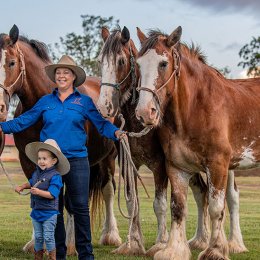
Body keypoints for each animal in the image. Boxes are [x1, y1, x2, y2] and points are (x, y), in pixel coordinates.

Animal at [0, 25, 122, 255]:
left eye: (11, 62)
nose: (0, 107)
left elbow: (70, 202)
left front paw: (70, 245)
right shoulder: (28, 160)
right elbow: (36, 193)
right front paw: (36, 242)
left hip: (109, 158)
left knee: (108, 191)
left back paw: (111, 236)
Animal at [97, 25, 215, 256]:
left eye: (121, 62)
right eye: (100, 61)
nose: (104, 107)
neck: (137, 122)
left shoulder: (160, 165)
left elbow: (159, 204)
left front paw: (161, 243)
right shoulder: (129, 164)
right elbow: (133, 203)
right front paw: (133, 243)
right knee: (202, 193)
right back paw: (199, 240)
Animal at [135, 26, 258, 260]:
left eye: (163, 64)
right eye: (137, 64)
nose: (145, 112)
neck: (195, 108)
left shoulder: (217, 164)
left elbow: (216, 208)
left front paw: (215, 250)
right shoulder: (176, 167)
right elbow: (178, 207)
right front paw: (174, 250)